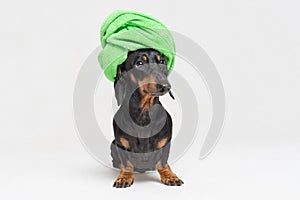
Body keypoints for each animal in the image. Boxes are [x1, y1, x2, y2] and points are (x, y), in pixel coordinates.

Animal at [110, 48, 183, 188]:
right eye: (139, 63)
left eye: (162, 61)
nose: (166, 86)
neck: (143, 114)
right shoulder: (121, 144)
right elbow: (126, 163)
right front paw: (124, 177)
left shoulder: (165, 143)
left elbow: (163, 162)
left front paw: (170, 175)